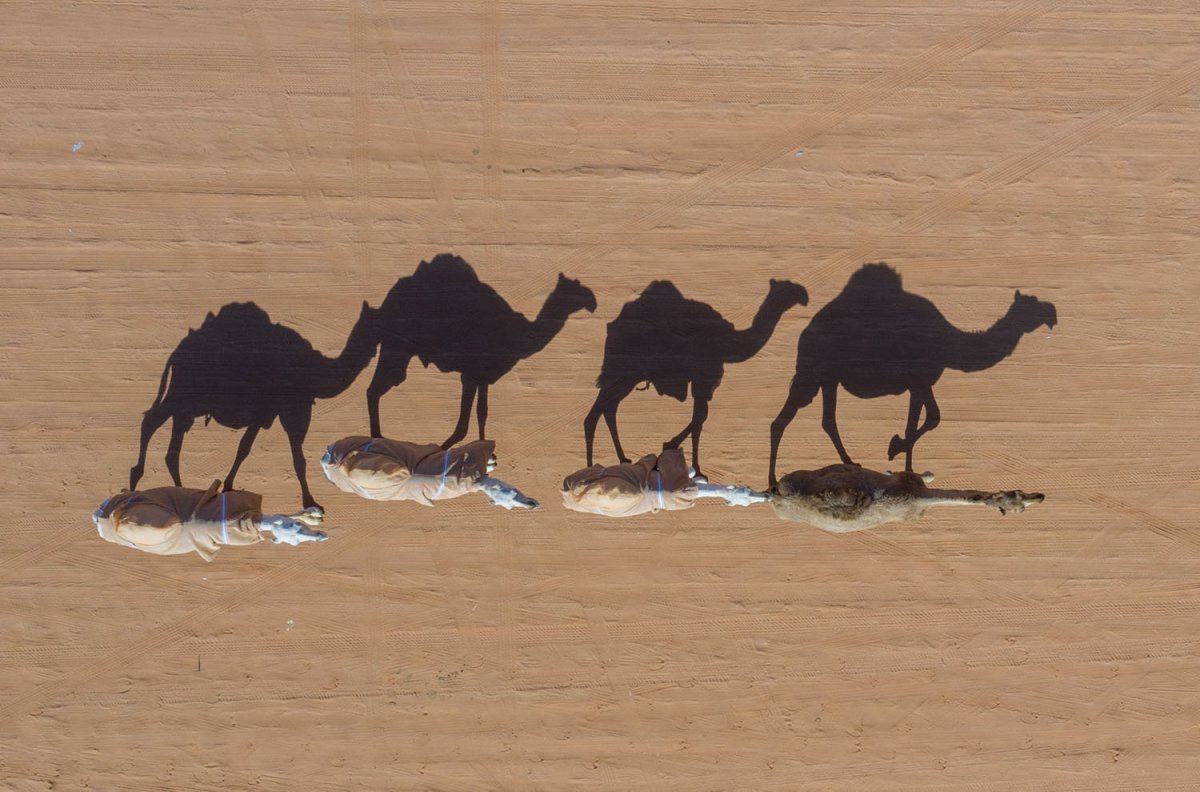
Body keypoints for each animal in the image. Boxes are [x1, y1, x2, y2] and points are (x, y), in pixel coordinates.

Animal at [130, 300, 379, 510]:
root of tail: (176, 352)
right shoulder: (291, 408)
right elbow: (295, 458)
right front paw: (311, 503)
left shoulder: (268, 412)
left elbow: (245, 448)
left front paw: (227, 486)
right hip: (184, 393)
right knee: (151, 422)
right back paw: (137, 482)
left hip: (188, 404)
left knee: (169, 443)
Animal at [367, 253, 596, 446]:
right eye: (575, 289)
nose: (593, 302)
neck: (519, 334)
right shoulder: (470, 373)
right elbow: (463, 424)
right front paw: (443, 450)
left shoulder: (484, 375)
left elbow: (482, 412)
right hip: (396, 347)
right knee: (376, 389)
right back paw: (377, 441)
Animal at [584, 278, 808, 479]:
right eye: (788, 287)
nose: (804, 295)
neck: (727, 342)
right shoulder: (705, 378)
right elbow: (701, 416)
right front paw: (670, 447)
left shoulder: (703, 380)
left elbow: (699, 419)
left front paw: (697, 470)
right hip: (623, 371)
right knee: (596, 413)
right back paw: (589, 469)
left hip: (626, 376)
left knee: (609, 408)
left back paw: (622, 459)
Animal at [768, 263, 1057, 485]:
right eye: (1031, 304)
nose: (1052, 313)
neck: (949, 342)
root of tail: (806, 330)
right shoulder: (919, 381)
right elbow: (928, 419)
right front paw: (897, 452)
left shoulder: (920, 383)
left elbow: (924, 420)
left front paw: (903, 462)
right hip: (812, 371)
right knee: (782, 420)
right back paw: (772, 482)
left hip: (829, 379)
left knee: (827, 420)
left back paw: (850, 463)